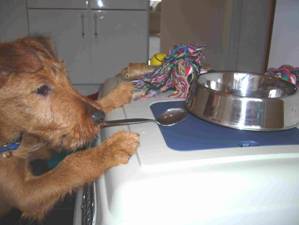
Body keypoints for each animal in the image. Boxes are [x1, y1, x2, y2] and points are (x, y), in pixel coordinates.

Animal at [0, 36, 140, 220]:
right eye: (42, 88)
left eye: (65, 76)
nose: (100, 117)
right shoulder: (24, 193)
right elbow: (70, 164)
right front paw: (111, 148)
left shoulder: (42, 142)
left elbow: (96, 102)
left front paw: (116, 95)